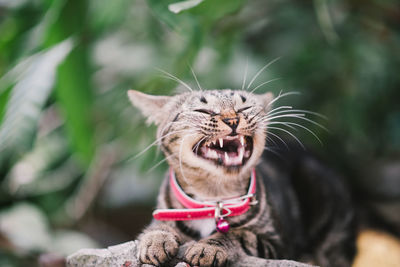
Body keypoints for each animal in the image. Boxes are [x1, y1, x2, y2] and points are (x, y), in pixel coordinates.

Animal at [126, 89, 354, 266]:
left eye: (245, 108)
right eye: (202, 110)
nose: (232, 119)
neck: (214, 197)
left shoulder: (276, 242)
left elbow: (238, 234)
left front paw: (208, 248)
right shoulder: (162, 212)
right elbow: (157, 226)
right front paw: (156, 240)